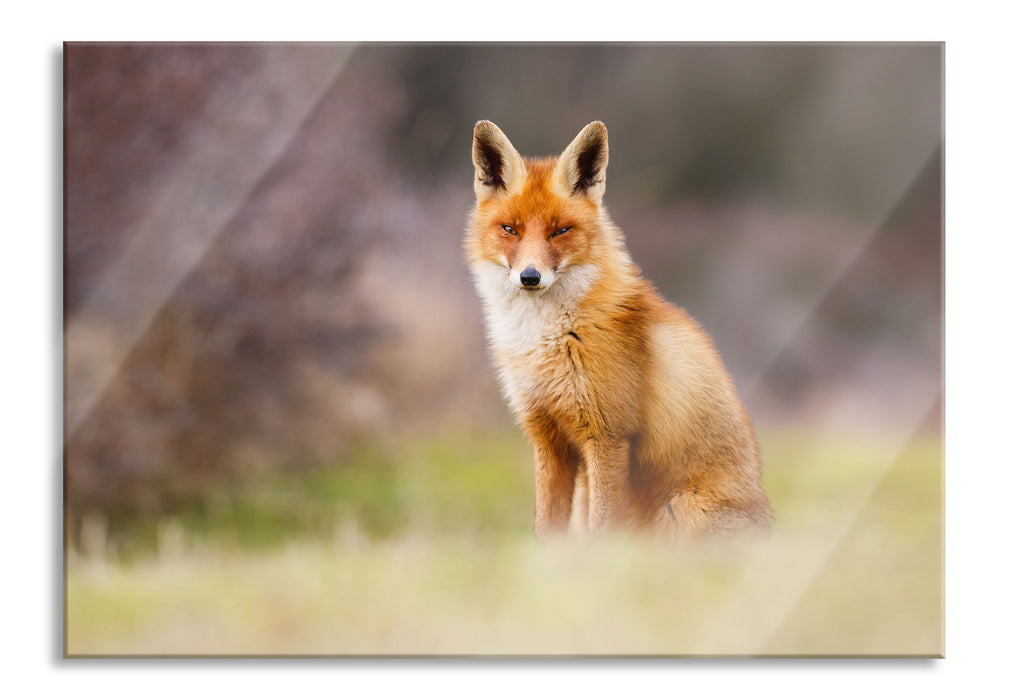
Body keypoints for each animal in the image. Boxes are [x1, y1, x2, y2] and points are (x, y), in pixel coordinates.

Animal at [465, 120, 771, 538]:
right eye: (510, 229)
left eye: (560, 231)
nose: (530, 277)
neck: (547, 340)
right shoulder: (547, 438)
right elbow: (546, 530)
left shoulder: (608, 437)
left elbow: (602, 531)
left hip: (681, 509)